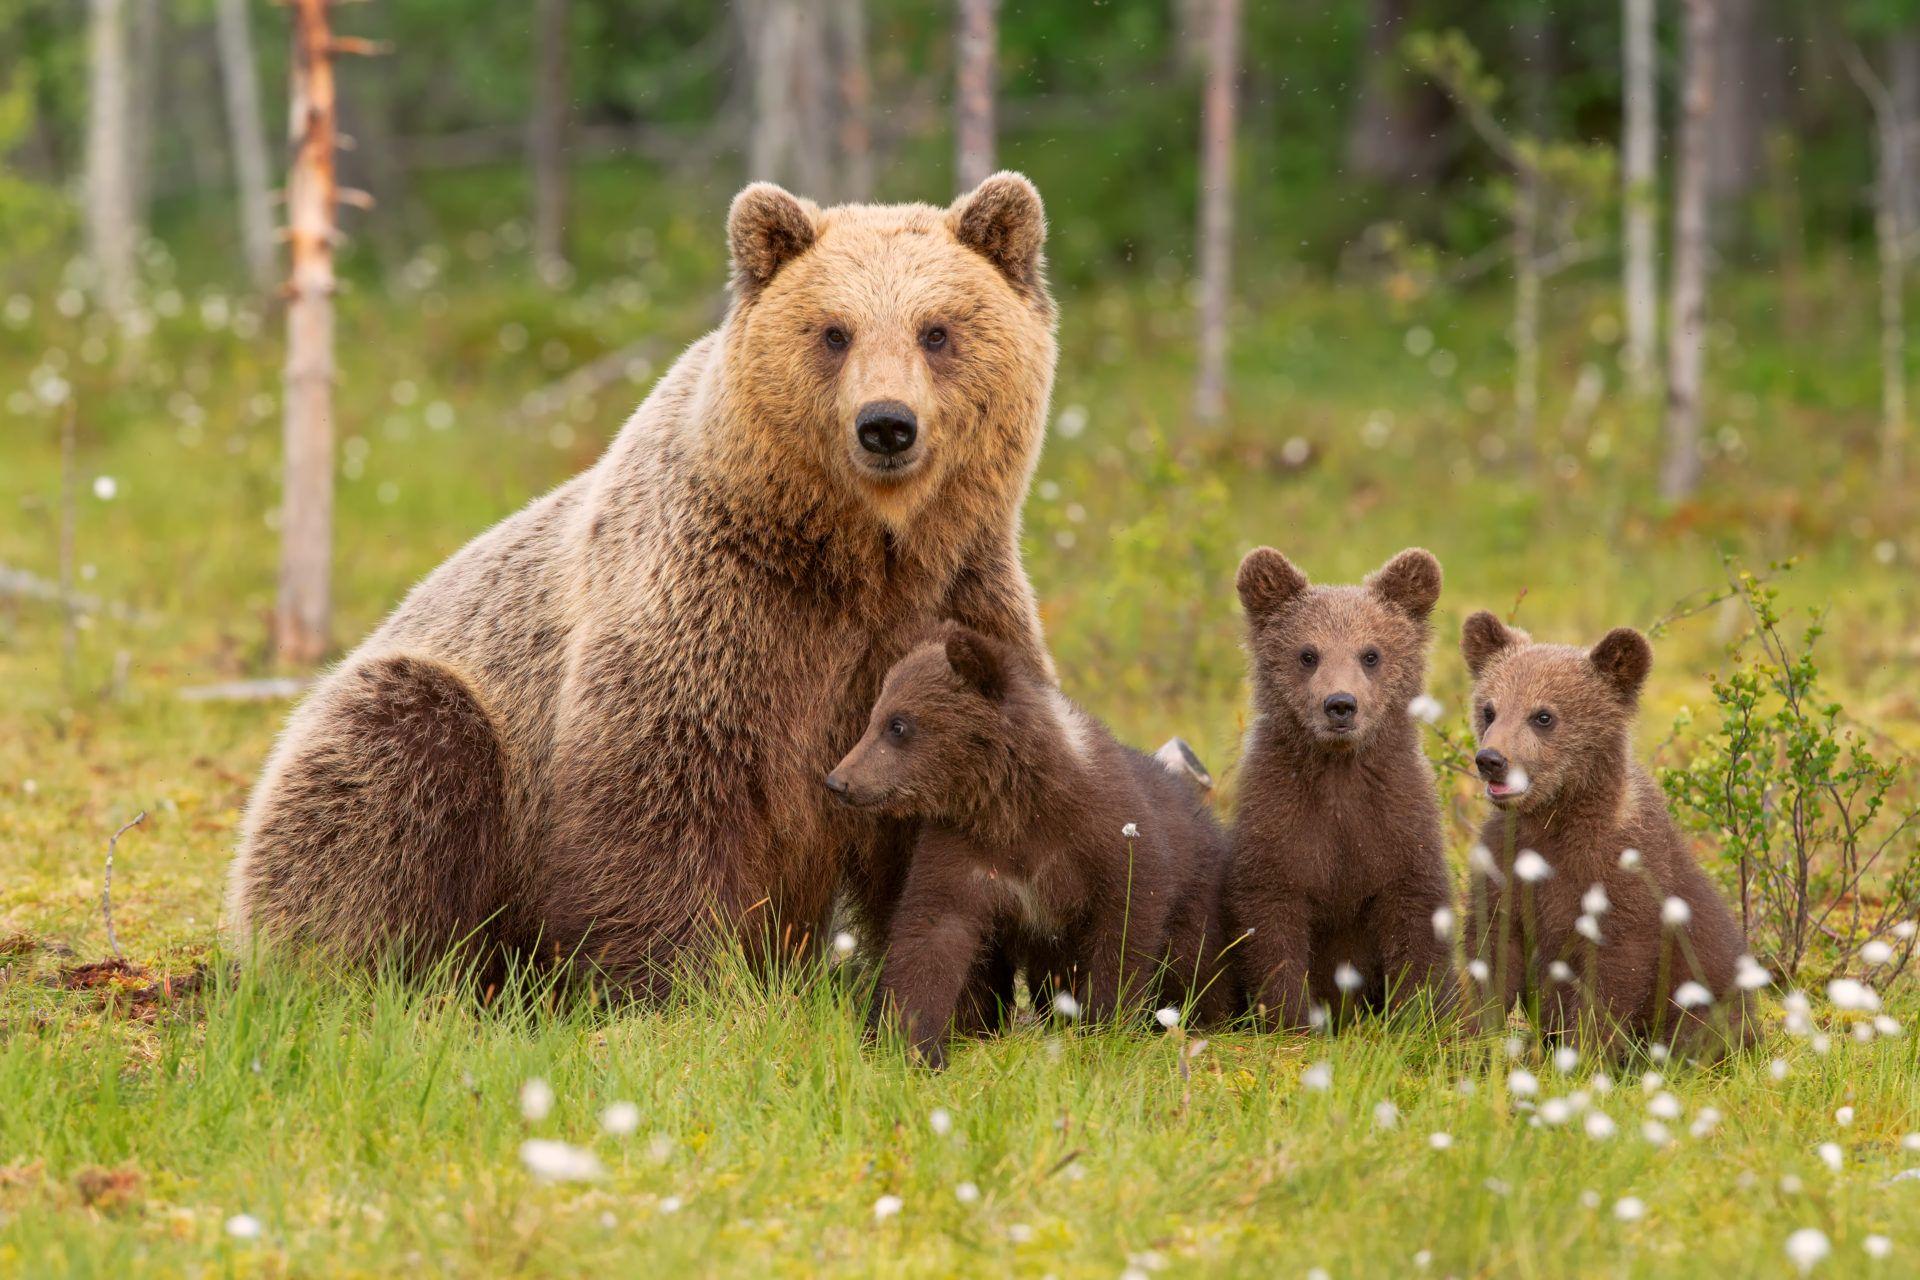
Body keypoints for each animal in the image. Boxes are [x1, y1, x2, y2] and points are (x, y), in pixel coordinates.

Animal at [225, 173, 1062, 998]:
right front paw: (676, 986)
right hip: (416, 730)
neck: (861, 555)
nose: (886, 424)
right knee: (395, 762)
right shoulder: (711, 605)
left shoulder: (952, 605)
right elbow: (659, 788)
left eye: (936, 330)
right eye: (833, 331)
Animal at [826, 624, 1236, 1066]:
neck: (1014, 804)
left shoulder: (1104, 835)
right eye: (874, 717)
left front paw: (1103, 1024)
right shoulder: (965, 849)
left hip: (1199, 896)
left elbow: (1126, 921)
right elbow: (931, 934)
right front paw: (910, 1042)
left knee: (1197, 962)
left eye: (898, 725)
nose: (838, 780)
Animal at [1225, 547, 1456, 1030]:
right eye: (1307, 654)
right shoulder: (1281, 821)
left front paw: (1420, 1017)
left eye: (1371, 654)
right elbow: (1271, 920)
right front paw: (1290, 1019)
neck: (1339, 770)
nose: (1340, 705)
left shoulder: (1397, 822)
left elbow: (1416, 917)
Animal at [1459, 612, 1755, 1056]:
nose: (1491, 760)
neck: (1555, 818)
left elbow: (1613, 977)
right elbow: (1492, 951)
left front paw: (1585, 1052)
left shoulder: (1622, 878)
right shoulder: (1505, 862)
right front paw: (1473, 1041)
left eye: (1543, 715)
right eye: (1489, 709)